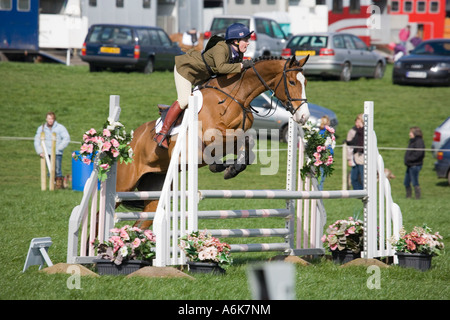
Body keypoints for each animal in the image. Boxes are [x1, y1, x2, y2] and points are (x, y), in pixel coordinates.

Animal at [116, 55, 310, 230]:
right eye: (292, 82)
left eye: (306, 83)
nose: (304, 117)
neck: (235, 97)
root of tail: (128, 142)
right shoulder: (212, 136)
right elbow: (241, 139)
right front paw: (223, 167)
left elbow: (247, 144)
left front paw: (230, 168)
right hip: (124, 184)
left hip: (156, 191)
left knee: (139, 226)